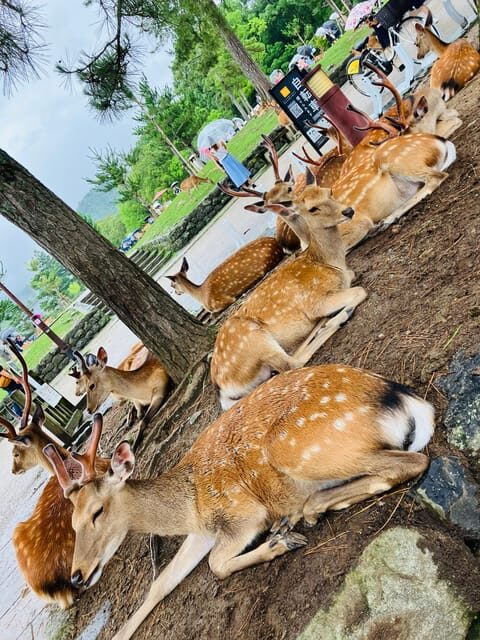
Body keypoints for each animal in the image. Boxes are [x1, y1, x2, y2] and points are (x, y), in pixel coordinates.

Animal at [44, 366, 435, 640]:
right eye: (72, 523)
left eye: (97, 511)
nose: (77, 575)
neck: (191, 506)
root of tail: (406, 400)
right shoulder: (203, 532)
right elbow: (161, 583)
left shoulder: (242, 515)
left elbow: (216, 565)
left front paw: (277, 546)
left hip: (297, 448)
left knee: (410, 463)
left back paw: (298, 518)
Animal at [211, 185, 367, 409]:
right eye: (312, 208)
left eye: (328, 191)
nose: (348, 211)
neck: (330, 263)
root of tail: (222, 391)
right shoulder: (315, 301)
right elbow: (360, 291)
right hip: (253, 338)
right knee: (292, 363)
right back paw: (335, 320)